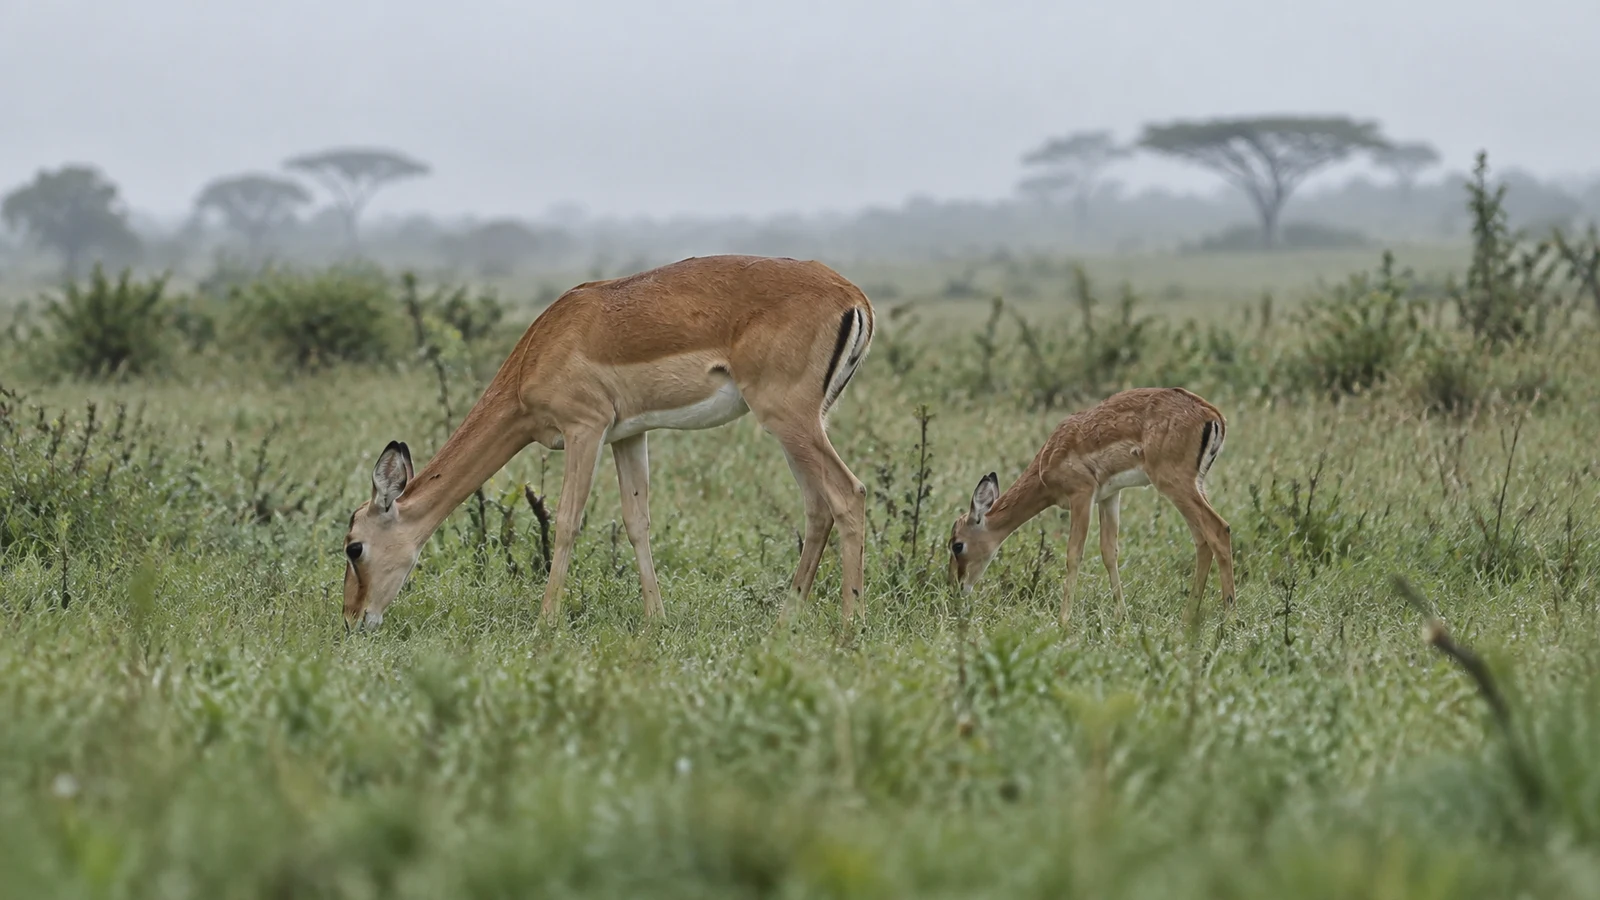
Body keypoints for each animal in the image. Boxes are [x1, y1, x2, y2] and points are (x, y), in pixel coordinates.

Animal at [340, 255, 874, 631]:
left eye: (354, 548)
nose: (352, 620)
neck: (541, 348)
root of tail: (853, 296)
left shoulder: (585, 428)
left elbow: (566, 522)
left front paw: (545, 622)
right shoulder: (629, 435)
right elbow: (637, 522)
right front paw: (656, 620)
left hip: (789, 419)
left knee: (849, 494)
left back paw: (849, 627)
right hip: (802, 425)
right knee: (818, 508)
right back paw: (784, 622)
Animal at [947, 387, 1234, 627]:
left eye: (957, 545)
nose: (956, 588)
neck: (1047, 461)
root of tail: (1212, 414)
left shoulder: (1082, 496)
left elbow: (1074, 555)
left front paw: (1063, 620)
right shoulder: (1109, 496)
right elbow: (1109, 552)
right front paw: (1122, 616)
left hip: (1175, 485)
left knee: (1219, 530)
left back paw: (1228, 616)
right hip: (1194, 486)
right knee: (1202, 542)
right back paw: (1189, 617)